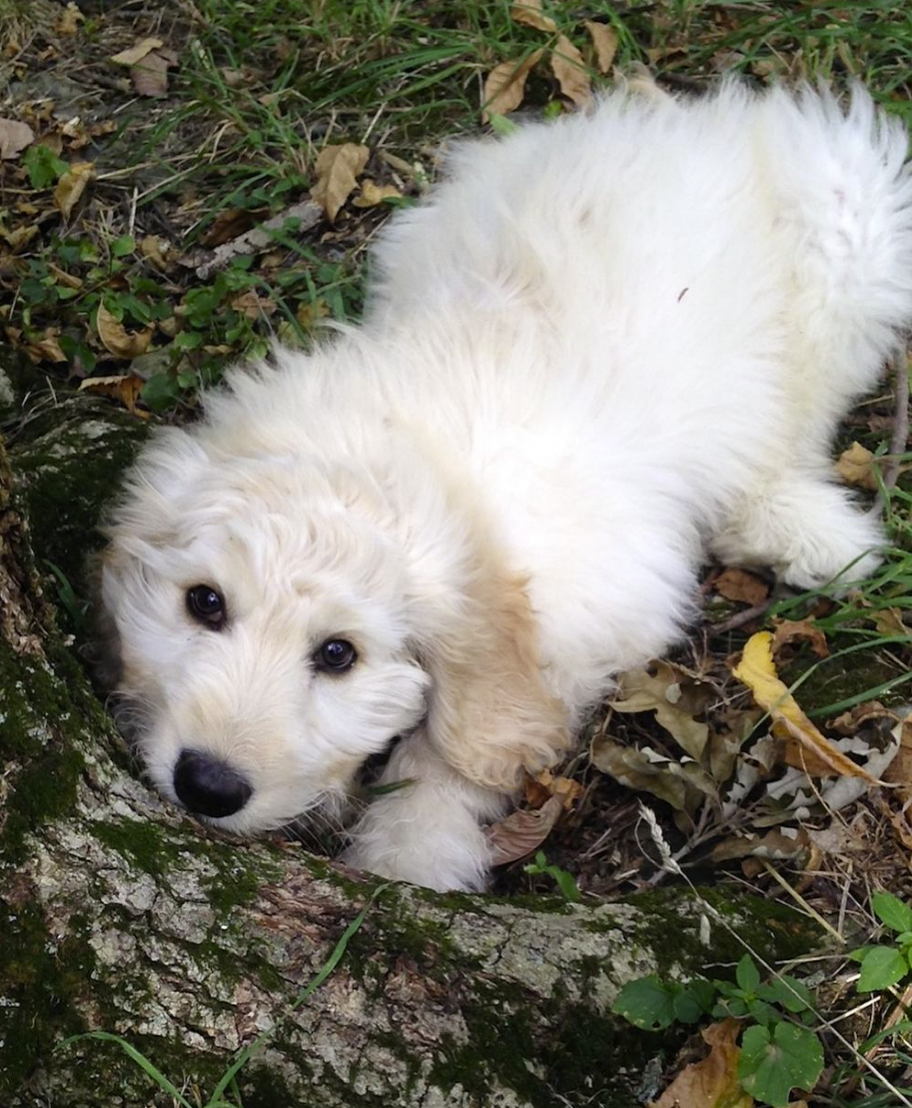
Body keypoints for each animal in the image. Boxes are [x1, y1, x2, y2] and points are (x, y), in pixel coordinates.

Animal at [99, 81, 912, 890]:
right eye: (204, 603)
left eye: (337, 654)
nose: (207, 785)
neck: (398, 456)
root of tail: (705, 111)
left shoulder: (599, 604)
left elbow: (463, 743)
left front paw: (415, 849)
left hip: (852, 230)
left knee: (801, 415)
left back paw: (802, 527)